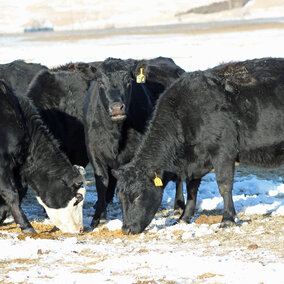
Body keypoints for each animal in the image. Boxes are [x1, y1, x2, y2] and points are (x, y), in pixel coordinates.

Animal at [83, 56, 185, 227]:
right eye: (101, 82)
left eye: (128, 82)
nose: (117, 107)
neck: (115, 134)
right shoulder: (93, 151)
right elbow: (101, 182)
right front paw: (99, 216)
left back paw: (179, 205)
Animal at [113, 56, 284, 234]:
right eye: (119, 197)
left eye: (137, 195)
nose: (126, 229)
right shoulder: (194, 161)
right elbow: (191, 190)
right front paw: (184, 218)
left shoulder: (223, 152)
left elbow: (224, 185)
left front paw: (227, 219)